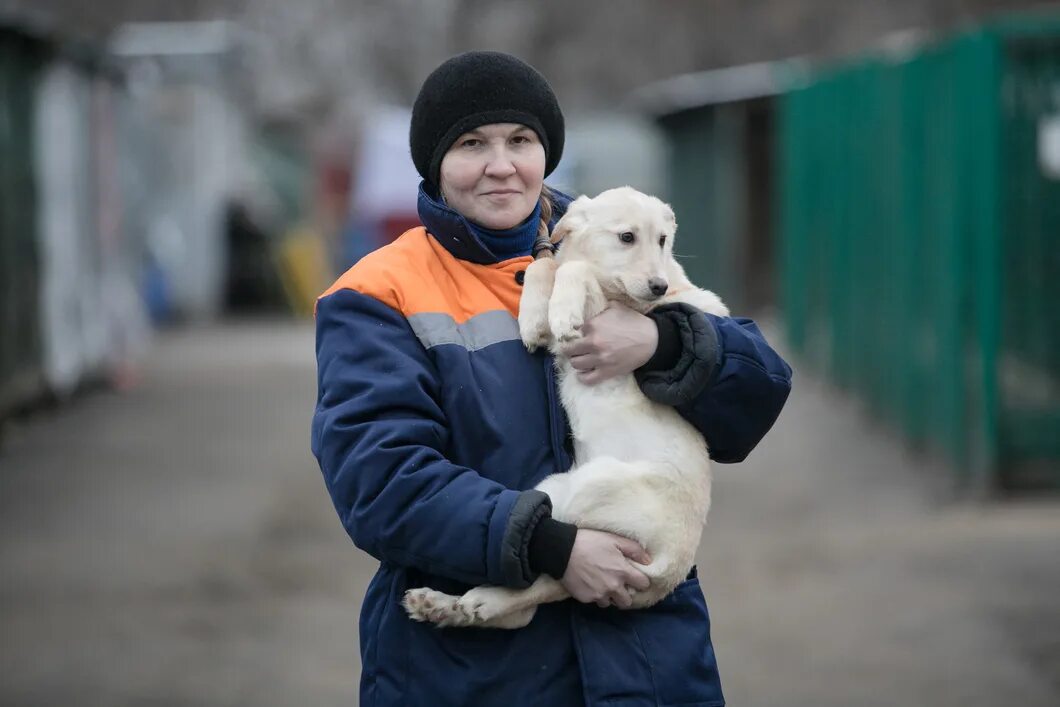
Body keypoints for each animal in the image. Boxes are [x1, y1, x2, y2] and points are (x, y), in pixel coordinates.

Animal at [404, 185, 729, 627]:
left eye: (663, 240)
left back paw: (462, 604)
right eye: (626, 237)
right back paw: (447, 605)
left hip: (586, 490)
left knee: (543, 581)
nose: (659, 287)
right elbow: (547, 265)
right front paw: (533, 320)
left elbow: (574, 270)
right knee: (535, 588)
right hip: (556, 488)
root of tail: (668, 571)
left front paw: (559, 314)